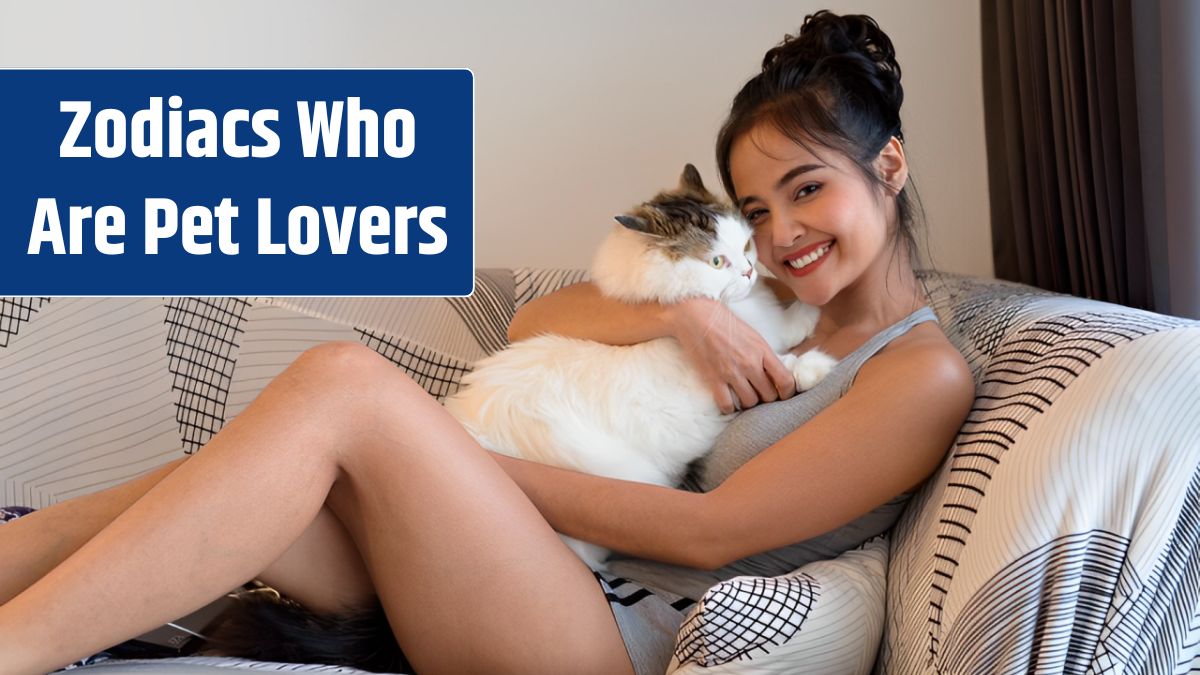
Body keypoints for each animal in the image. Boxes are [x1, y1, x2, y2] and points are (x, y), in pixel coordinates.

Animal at [441, 163, 835, 566]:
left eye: (745, 247)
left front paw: (812, 309)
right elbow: (781, 363)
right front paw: (816, 362)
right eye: (715, 262)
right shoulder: (732, 379)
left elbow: (787, 327)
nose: (749, 272)